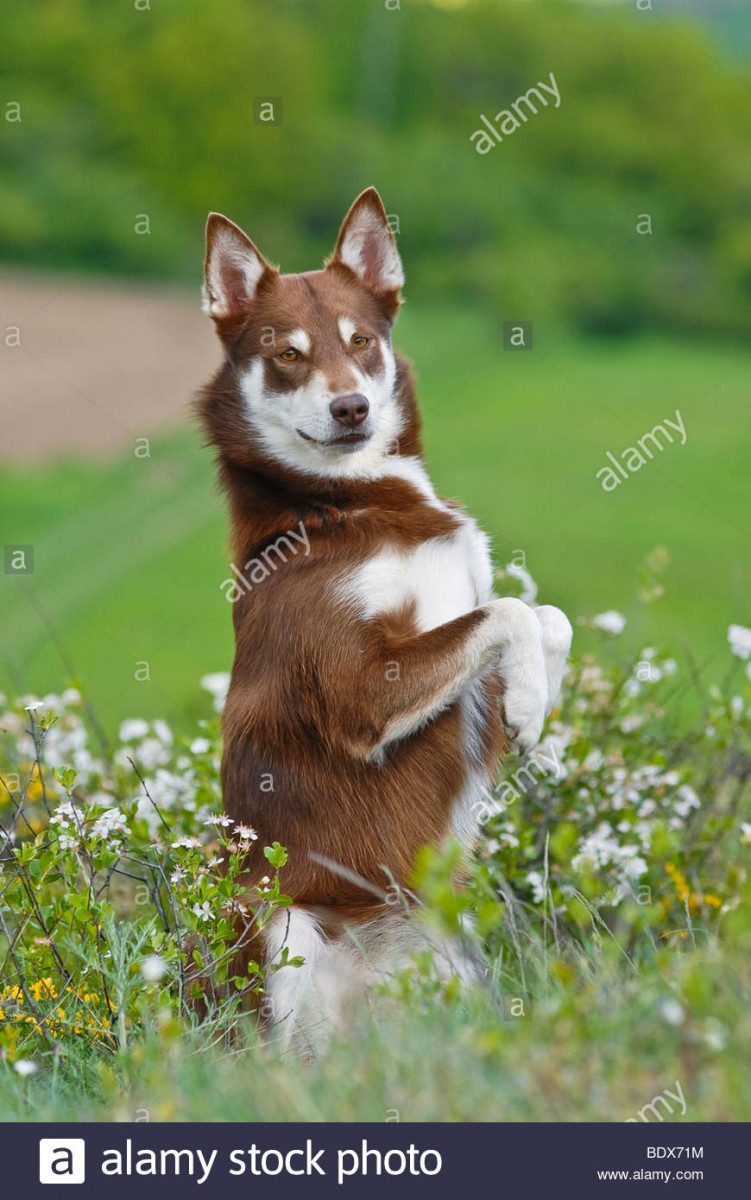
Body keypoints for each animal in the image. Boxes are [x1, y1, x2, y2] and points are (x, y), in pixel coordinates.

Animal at [195, 189, 571, 1051]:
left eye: (360, 341)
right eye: (287, 354)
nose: (350, 407)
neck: (343, 504)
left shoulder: (455, 637)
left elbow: (546, 617)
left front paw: (537, 715)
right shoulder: (360, 692)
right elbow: (508, 612)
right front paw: (531, 703)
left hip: (452, 960)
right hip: (280, 927)